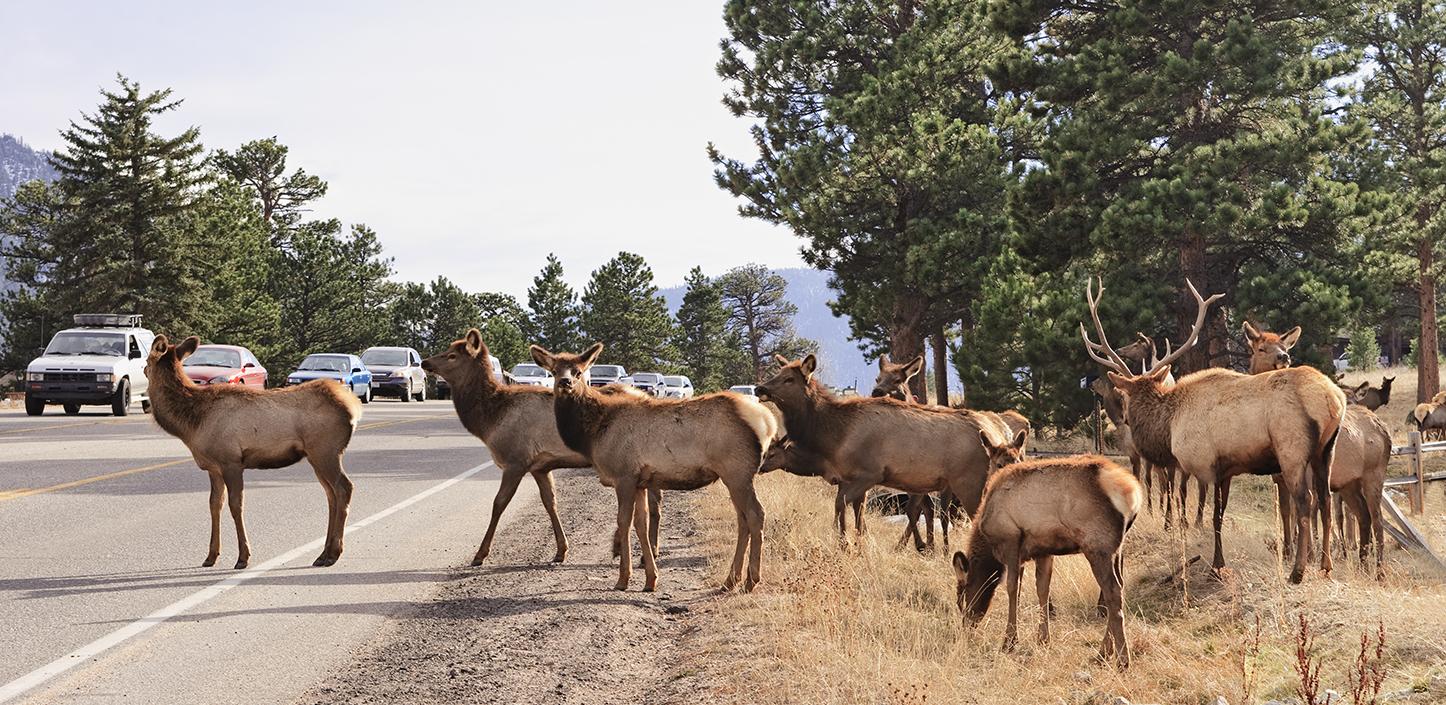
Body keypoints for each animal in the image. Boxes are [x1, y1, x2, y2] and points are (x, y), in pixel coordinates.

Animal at [142, 333, 361, 569]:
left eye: (147, 361)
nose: (143, 369)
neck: (192, 424)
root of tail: (353, 408)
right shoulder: (213, 467)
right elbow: (214, 505)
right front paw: (210, 556)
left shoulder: (231, 461)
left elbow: (235, 505)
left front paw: (243, 557)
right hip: (316, 456)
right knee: (331, 494)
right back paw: (323, 554)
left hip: (326, 451)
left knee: (344, 487)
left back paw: (333, 553)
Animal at [532, 343, 780, 592]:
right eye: (554, 371)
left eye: (579, 372)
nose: (565, 382)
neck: (592, 433)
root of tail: (768, 422)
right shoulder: (641, 481)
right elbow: (641, 524)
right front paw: (651, 579)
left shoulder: (624, 475)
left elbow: (624, 522)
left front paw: (623, 579)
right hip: (734, 476)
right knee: (742, 519)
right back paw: (731, 580)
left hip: (737, 471)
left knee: (756, 514)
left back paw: (751, 580)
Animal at [954, 442, 1145, 670]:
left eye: (962, 595)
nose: (966, 626)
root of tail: (1133, 493)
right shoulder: (1043, 551)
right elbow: (1043, 589)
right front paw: (1043, 639)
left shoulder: (1011, 542)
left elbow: (1012, 589)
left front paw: (1009, 641)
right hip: (1117, 548)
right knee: (1120, 587)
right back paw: (1103, 653)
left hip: (1098, 546)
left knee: (1113, 592)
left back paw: (1122, 659)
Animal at [1075, 278, 1341, 580]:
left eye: (1127, 397)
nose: (1126, 421)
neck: (1169, 425)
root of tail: (1332, 399)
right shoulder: (1227, 469)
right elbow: (1219, 513)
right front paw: (1217, 561)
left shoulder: (1205, 463)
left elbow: (1213, 515)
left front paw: (1217, 564)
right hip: (1326, 450)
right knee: (1326, 499)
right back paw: (1325, 566)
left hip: (1291, 449)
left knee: (1306, 500)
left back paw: (1297, 571)